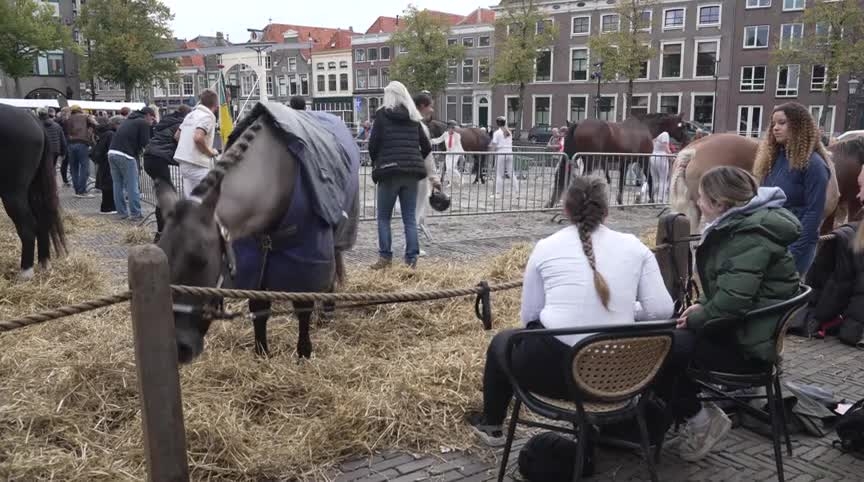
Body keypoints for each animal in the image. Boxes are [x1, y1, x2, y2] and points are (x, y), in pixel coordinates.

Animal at [0, 103, 66, 280]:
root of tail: (34, 120)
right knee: (42, 220)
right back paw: (44, 263)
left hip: (13, 190)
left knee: (28, 225)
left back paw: (26, 272)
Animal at [155, 103, 358, 364]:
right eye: (162, 259)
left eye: (200, 260)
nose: (179, 349)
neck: (274, 175)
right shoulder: (253, 259)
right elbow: (258, 308)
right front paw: (262, 352)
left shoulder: (308, 256)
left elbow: (303, 306)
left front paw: (304, 353)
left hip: (336, 238)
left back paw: (327, 312)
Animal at [548, 113, 688, 207]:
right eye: (681, 126)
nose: (685, 140)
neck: (644, 128)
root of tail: (578, 124)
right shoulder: (644, 159)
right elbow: (650, 179)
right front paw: (652, 201)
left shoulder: (624, 161)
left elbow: (621, 181)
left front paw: (620, 201)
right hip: (590, 160)